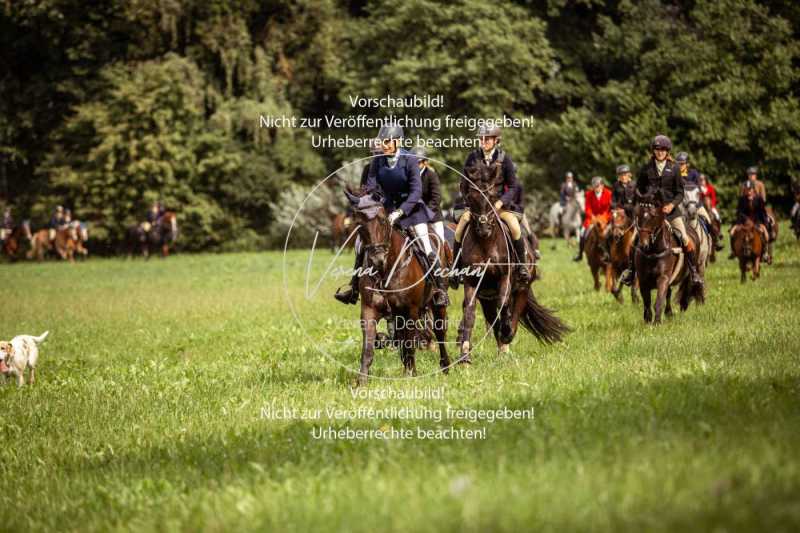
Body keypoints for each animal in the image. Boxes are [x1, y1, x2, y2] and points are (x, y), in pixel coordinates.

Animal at [346, 189, 454, 384]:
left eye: (382, 220)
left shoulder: (410, 311)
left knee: (440, 332)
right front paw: (361, 381)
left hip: (436, 304)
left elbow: (409, 344)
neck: (386, 271)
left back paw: (445, 366)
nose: (377, 260)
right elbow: (369, 347)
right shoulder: (370, 310)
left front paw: (410, 375)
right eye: (359, 224)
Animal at [454, 166, 564, 362]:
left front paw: (506, 333)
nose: (483, 228)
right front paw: (465, 354)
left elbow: (504, 305)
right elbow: (469, 311)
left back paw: (506, 338)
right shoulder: (471, 282)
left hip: (522, 288)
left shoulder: (504, 278)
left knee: (513, 310)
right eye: (471, 198)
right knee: (492, 317)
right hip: (486, 296)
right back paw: (501, 347)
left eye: (492, 197)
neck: (486, 242)